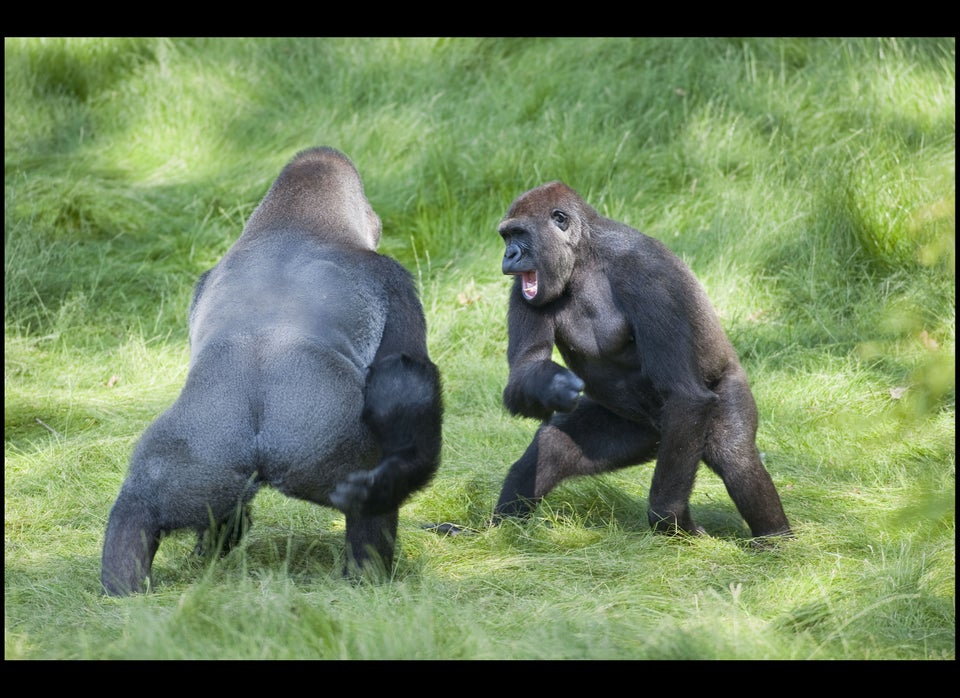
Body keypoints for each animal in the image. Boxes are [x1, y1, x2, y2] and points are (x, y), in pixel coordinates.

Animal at [99, 145, 444, 592]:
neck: (293, 223)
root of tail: (259, 445)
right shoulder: (393, 280)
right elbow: (403, 373)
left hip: (200, 457)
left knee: (139, 505)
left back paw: (129, 583)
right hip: (330, 446)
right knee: (372, 501)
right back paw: (367, 577)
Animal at [492, 179, 792, 540]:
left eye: (520, 234)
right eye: (507, 237)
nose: (509, 255)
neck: (584, 258)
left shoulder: (649, 277)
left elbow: (684, 393)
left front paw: (670, 517)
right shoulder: (524, 287)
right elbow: (526, 370)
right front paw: (551, 385)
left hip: (716, 397)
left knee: (736, 458)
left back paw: (776, 541)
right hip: (644, 431)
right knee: (552, 446)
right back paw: (493, 533)